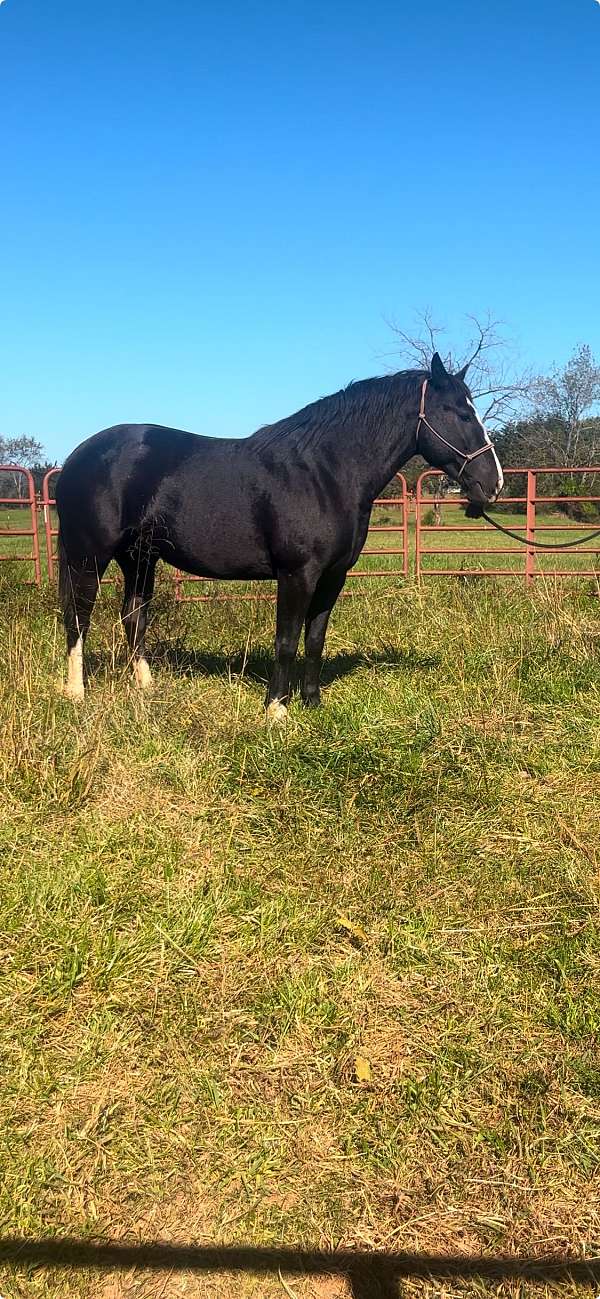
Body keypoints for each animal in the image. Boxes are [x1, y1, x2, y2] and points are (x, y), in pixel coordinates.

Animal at [55, 353, 501, 722]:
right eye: (460, 413)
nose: (492, 483)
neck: (324, 473)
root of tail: (79, 455)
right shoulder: (297, 574)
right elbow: (286, 639)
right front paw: (276, 710)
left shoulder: (333, 576)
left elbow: (315, 638)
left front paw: (312, 702)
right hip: (89, 555)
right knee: (78, 616)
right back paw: (76, 692)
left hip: (140, 556)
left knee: (134, 615)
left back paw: (146, 686)